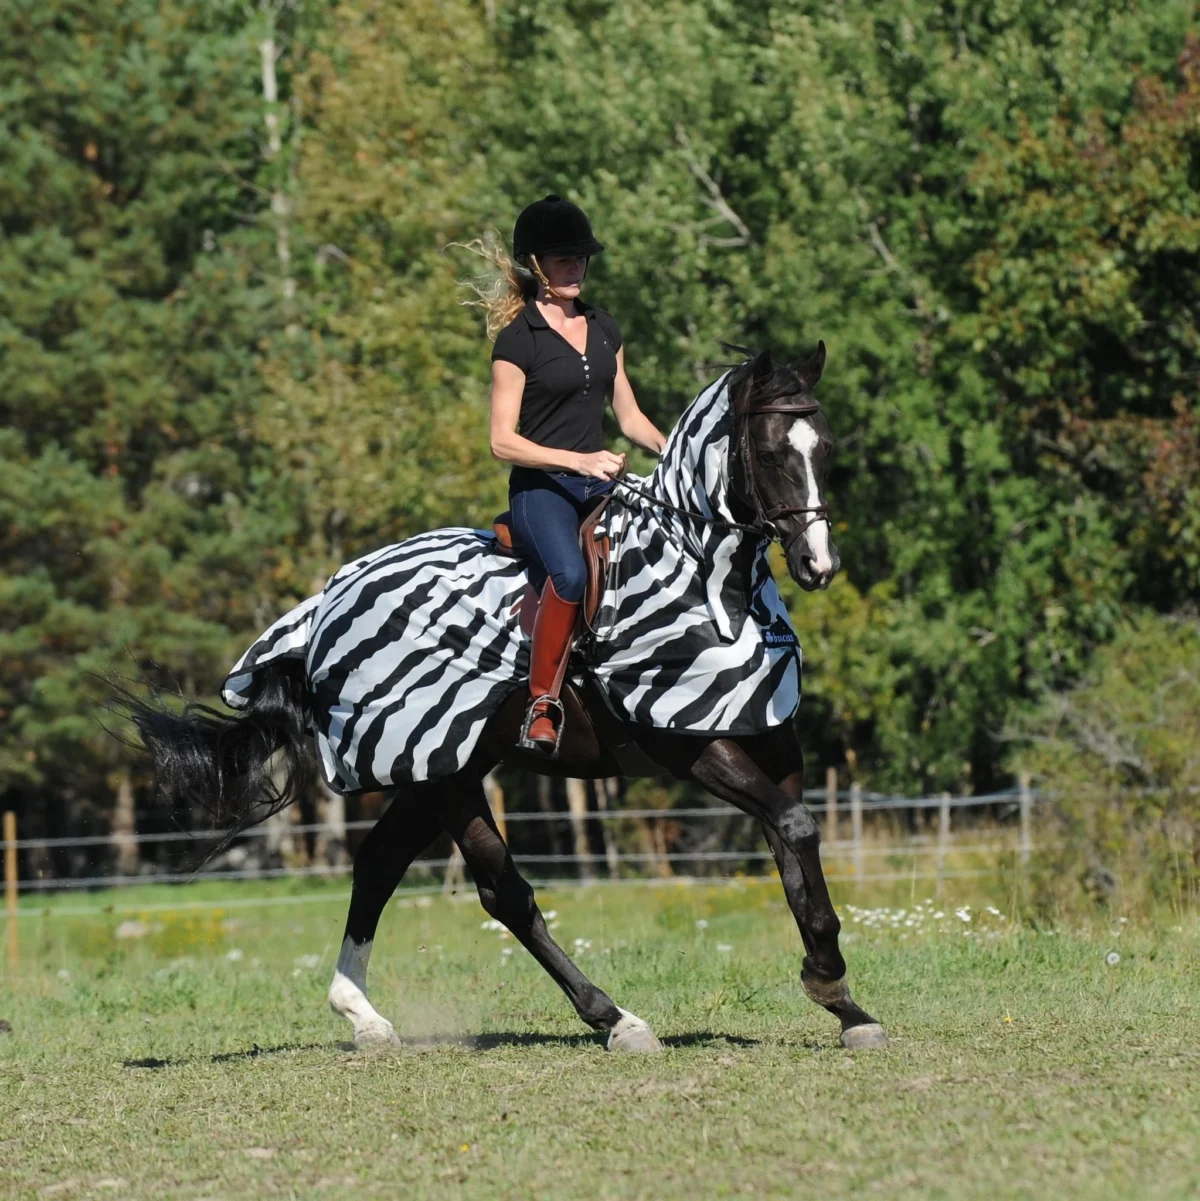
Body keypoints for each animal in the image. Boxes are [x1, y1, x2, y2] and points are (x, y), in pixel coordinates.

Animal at [128, 343, 888, 1054]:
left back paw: (363, 1016)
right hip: (444, 774)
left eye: (824, 447)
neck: (706, 582)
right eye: (771, 451)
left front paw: (845, 1003)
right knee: (503, 892)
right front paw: (827, 980)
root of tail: (325, 605)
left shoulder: (770, 737)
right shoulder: (688, 744)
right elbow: (794, 828)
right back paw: (615, 1019)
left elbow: (794, 844)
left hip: (439, 765)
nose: (820, 565)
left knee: (378, 864)